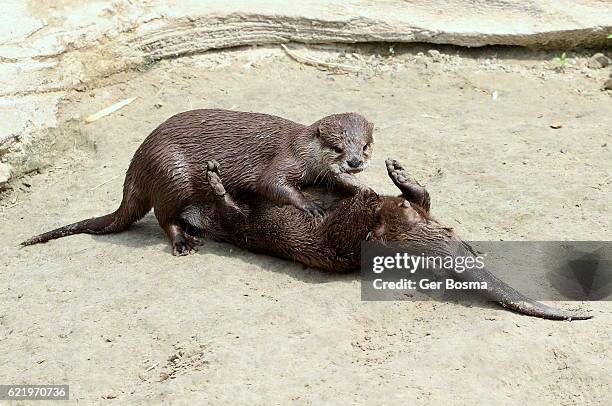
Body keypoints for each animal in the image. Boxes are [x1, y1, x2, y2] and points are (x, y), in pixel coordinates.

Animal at [20, 109, 372, 255]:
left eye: (365, 146)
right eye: (338, 148)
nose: (354, 162)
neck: (304, 151)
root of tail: (136, 167)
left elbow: (337, 185)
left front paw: (360, 188)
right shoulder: (285, 160)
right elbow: (272, 185)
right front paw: (309, 205)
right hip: (173, 174)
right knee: (163, 216)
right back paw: (183, 242)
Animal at [178, 159, 592, 320]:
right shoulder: (241, 228)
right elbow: (232, 209)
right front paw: (216, 182)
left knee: (413, 200)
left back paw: (390, 177)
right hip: (345, 239)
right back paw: (367, 186)